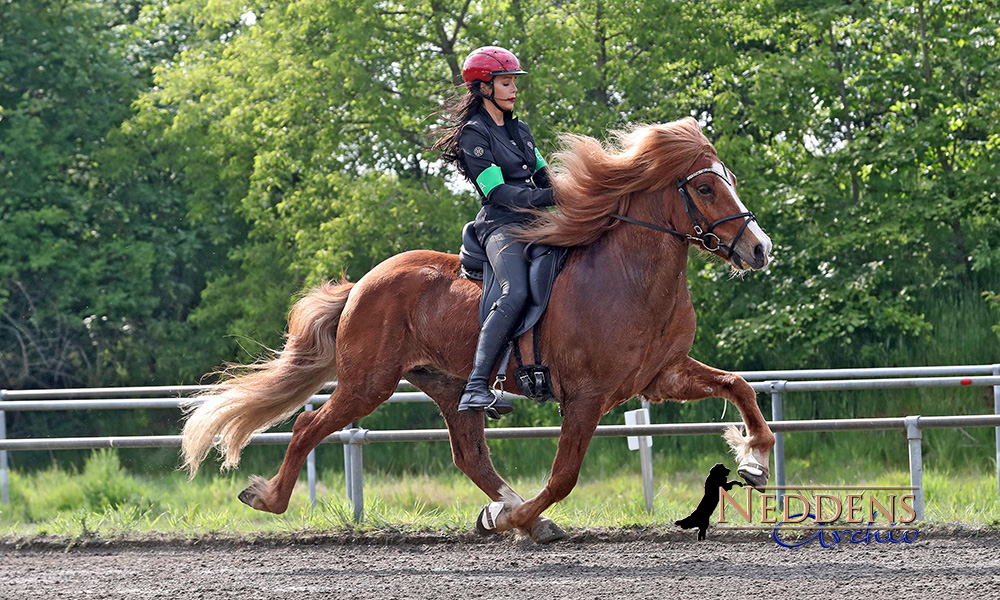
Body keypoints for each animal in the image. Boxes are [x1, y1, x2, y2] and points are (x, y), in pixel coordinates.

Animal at [180, 116, 776, 544]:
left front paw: (754, 459)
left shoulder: (661, 376)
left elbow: (740, 387)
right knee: (309, 426)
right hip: (367, 383)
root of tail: (362, 284)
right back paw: (268, 498)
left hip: (447, 385)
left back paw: (509, 510)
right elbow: (564, 475)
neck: (629, 277)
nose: (759, 249)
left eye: (730, 182)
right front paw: (515, 522)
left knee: (470, 455)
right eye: (704, 189)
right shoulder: (586, 397)